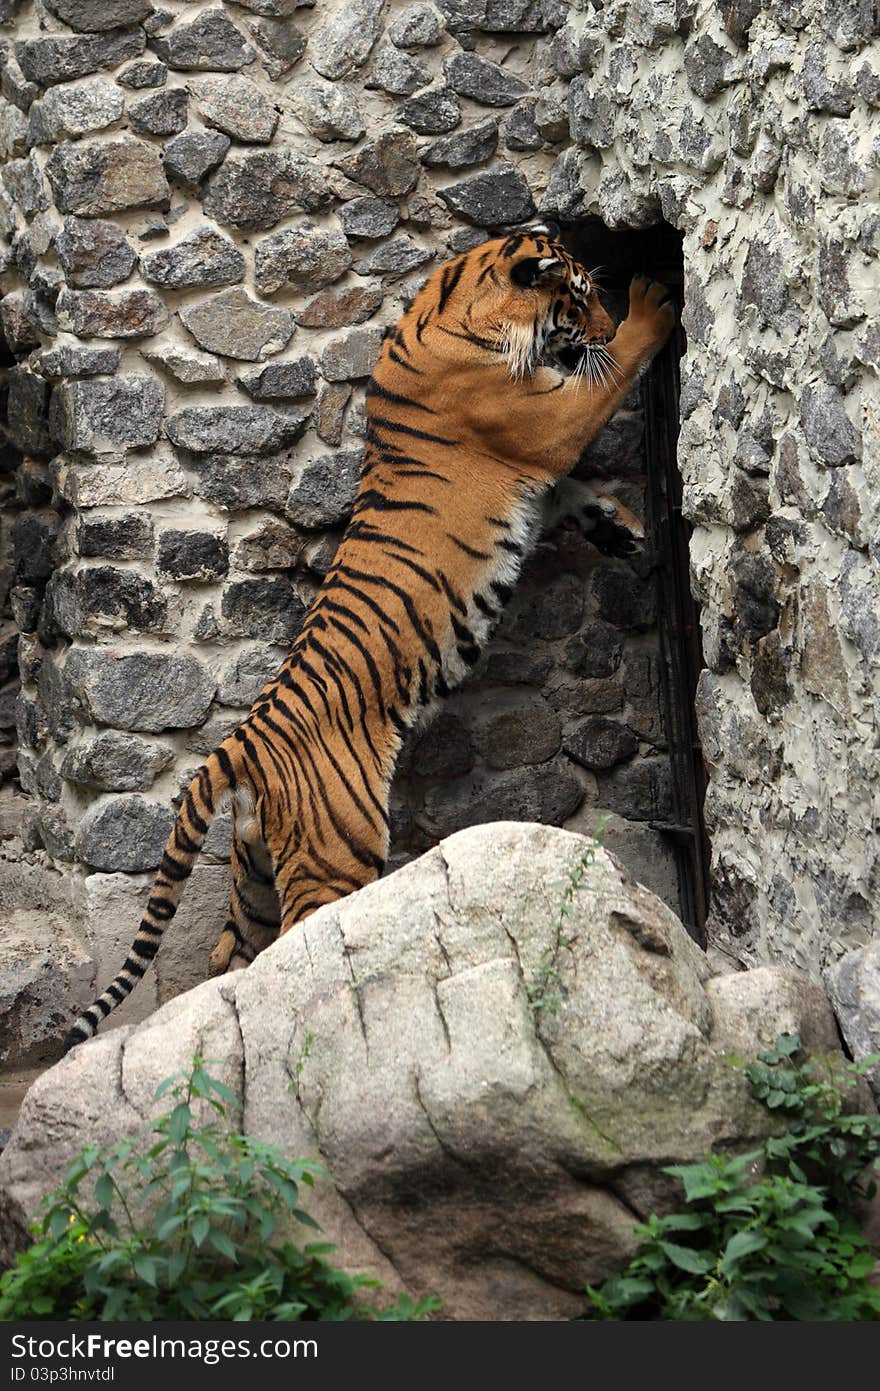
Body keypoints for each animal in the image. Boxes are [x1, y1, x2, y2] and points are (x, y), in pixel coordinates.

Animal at [61, 222, 672, 1046]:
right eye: (578, 300)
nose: (601, 327)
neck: (454, 297)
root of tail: (240, 744)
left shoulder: (539, 447)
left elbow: (576, 493)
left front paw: (620, 528)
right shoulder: (540, 419)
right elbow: (604, 392)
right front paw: (653, 304)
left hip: (256, 875)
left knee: (230, 962)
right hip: (335, 851)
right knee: (299, 948)